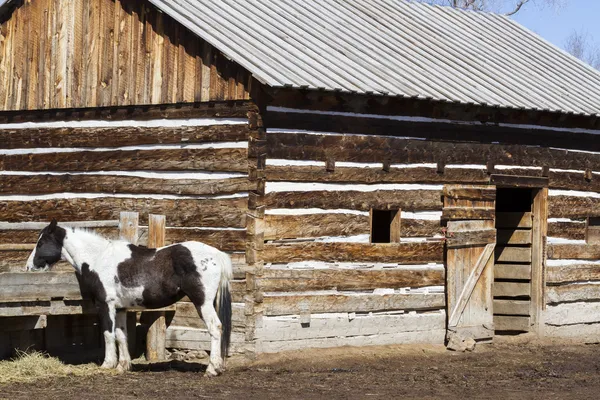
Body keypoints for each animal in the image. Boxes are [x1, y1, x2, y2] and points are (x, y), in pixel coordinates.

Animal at [24, 220, 230, 376]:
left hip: (202, 302)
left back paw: (212, 369)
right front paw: (123, 366)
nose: (28, 267)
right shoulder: (120, 308)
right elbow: (121, 335)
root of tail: (216, 254)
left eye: (41, 243)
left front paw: (107, 364)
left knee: (215, 328)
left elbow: (108, 334)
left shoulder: (105, 305)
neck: (99, 258)